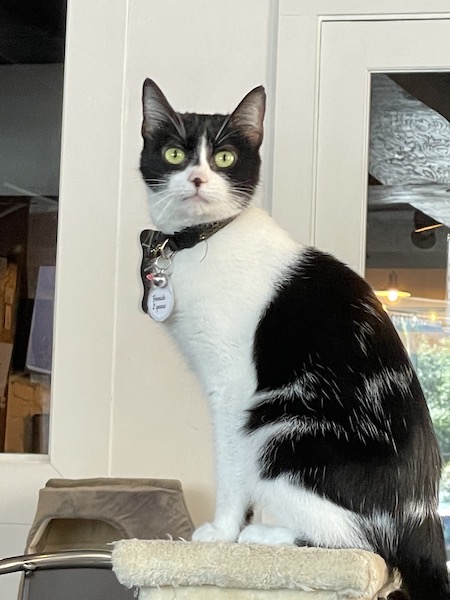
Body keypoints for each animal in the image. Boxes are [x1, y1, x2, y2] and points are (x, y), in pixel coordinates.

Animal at [139, 79, 450, 600]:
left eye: (224, 157)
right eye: (174, 153)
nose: (198, 179)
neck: (205, 241)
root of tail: (422, 516)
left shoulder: (233, 386)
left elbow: (230, 465)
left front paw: (222, 534)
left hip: (278, 427)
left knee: (357, 543)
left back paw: (262, 535)